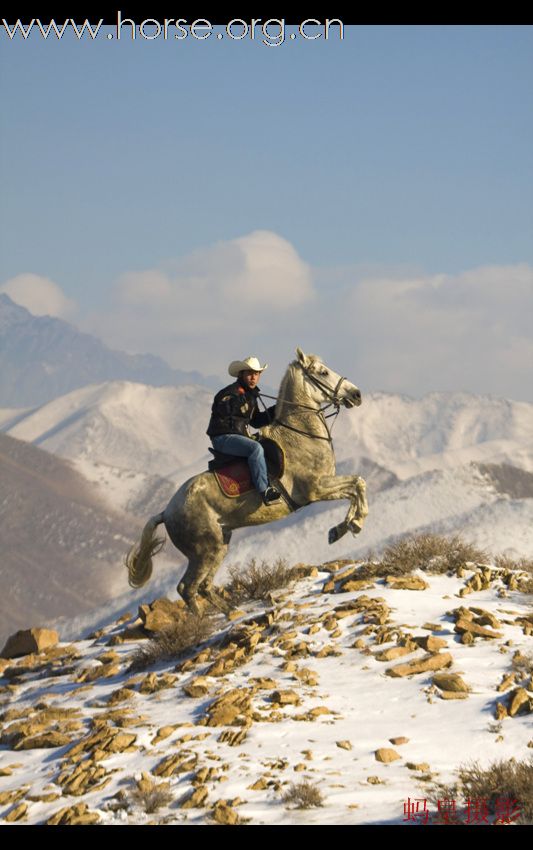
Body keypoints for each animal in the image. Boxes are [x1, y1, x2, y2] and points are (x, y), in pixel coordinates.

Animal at [125, 348, 368, 612]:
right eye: (323, 372)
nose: (356, 394)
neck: (301, 435)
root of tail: (166, 512)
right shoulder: (316, 489)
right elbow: (358, 484)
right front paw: (352, 525)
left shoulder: (325, 486)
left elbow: (356, 487)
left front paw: (343, 529)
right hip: (204, 551)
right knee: (187, 588)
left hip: (221, 543)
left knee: (204, 586)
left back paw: (230, 611)